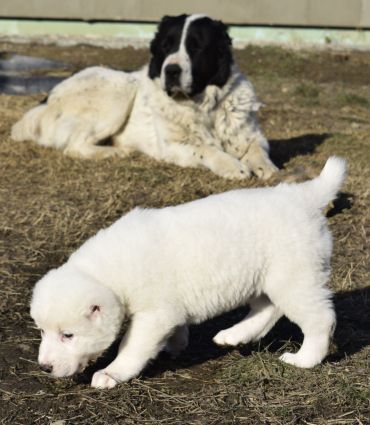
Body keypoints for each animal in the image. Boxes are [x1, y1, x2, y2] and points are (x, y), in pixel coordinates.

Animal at [12, 14, 278, 179]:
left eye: (197, 47)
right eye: (166, 47)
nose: (171, 70)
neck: (204, 107)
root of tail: (46, 99)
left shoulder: (252, 137)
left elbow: (258, 150)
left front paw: (268, 168)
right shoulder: (174, 147)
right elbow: (206, 149)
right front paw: (232, 165)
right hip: (119, 89)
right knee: (74, 147)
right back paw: (117, 152)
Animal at [30, 157, 346, 388]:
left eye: (68, 335)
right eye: (42, 331)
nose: (45, 367)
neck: (107, 272)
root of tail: (305, 197)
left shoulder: (154, 314)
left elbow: (132, 346)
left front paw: (111, 373)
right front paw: (176, 343)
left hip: (295, 273)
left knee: (318, 318)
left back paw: (305, 359)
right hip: (268, 275)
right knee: (268, 307)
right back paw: (233, 335)